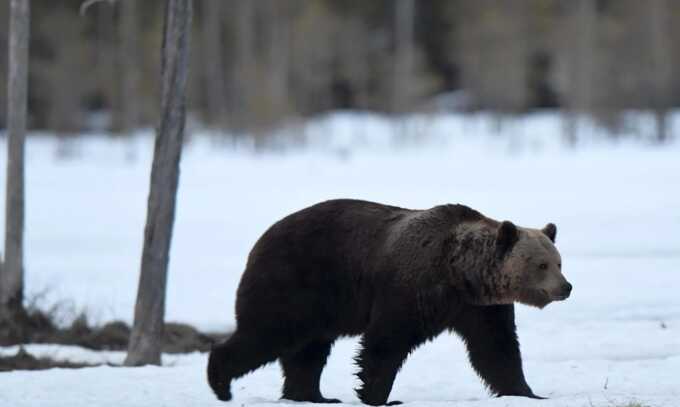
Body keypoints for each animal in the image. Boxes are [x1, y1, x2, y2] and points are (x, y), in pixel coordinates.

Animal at [206, 199, 568, 406]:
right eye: (541, 265)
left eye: (558, 261)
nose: (565, 287)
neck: (460, 275)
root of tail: (263, 237)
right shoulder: (410, 288)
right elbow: (385, 343)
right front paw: (378, 396)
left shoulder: (480, 309)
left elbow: (497, 350)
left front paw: (527, 392)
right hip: (296, 283)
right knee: (267, 334)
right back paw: (221, 383)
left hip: (320, 307)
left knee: (308, 351)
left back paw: (314, 395)